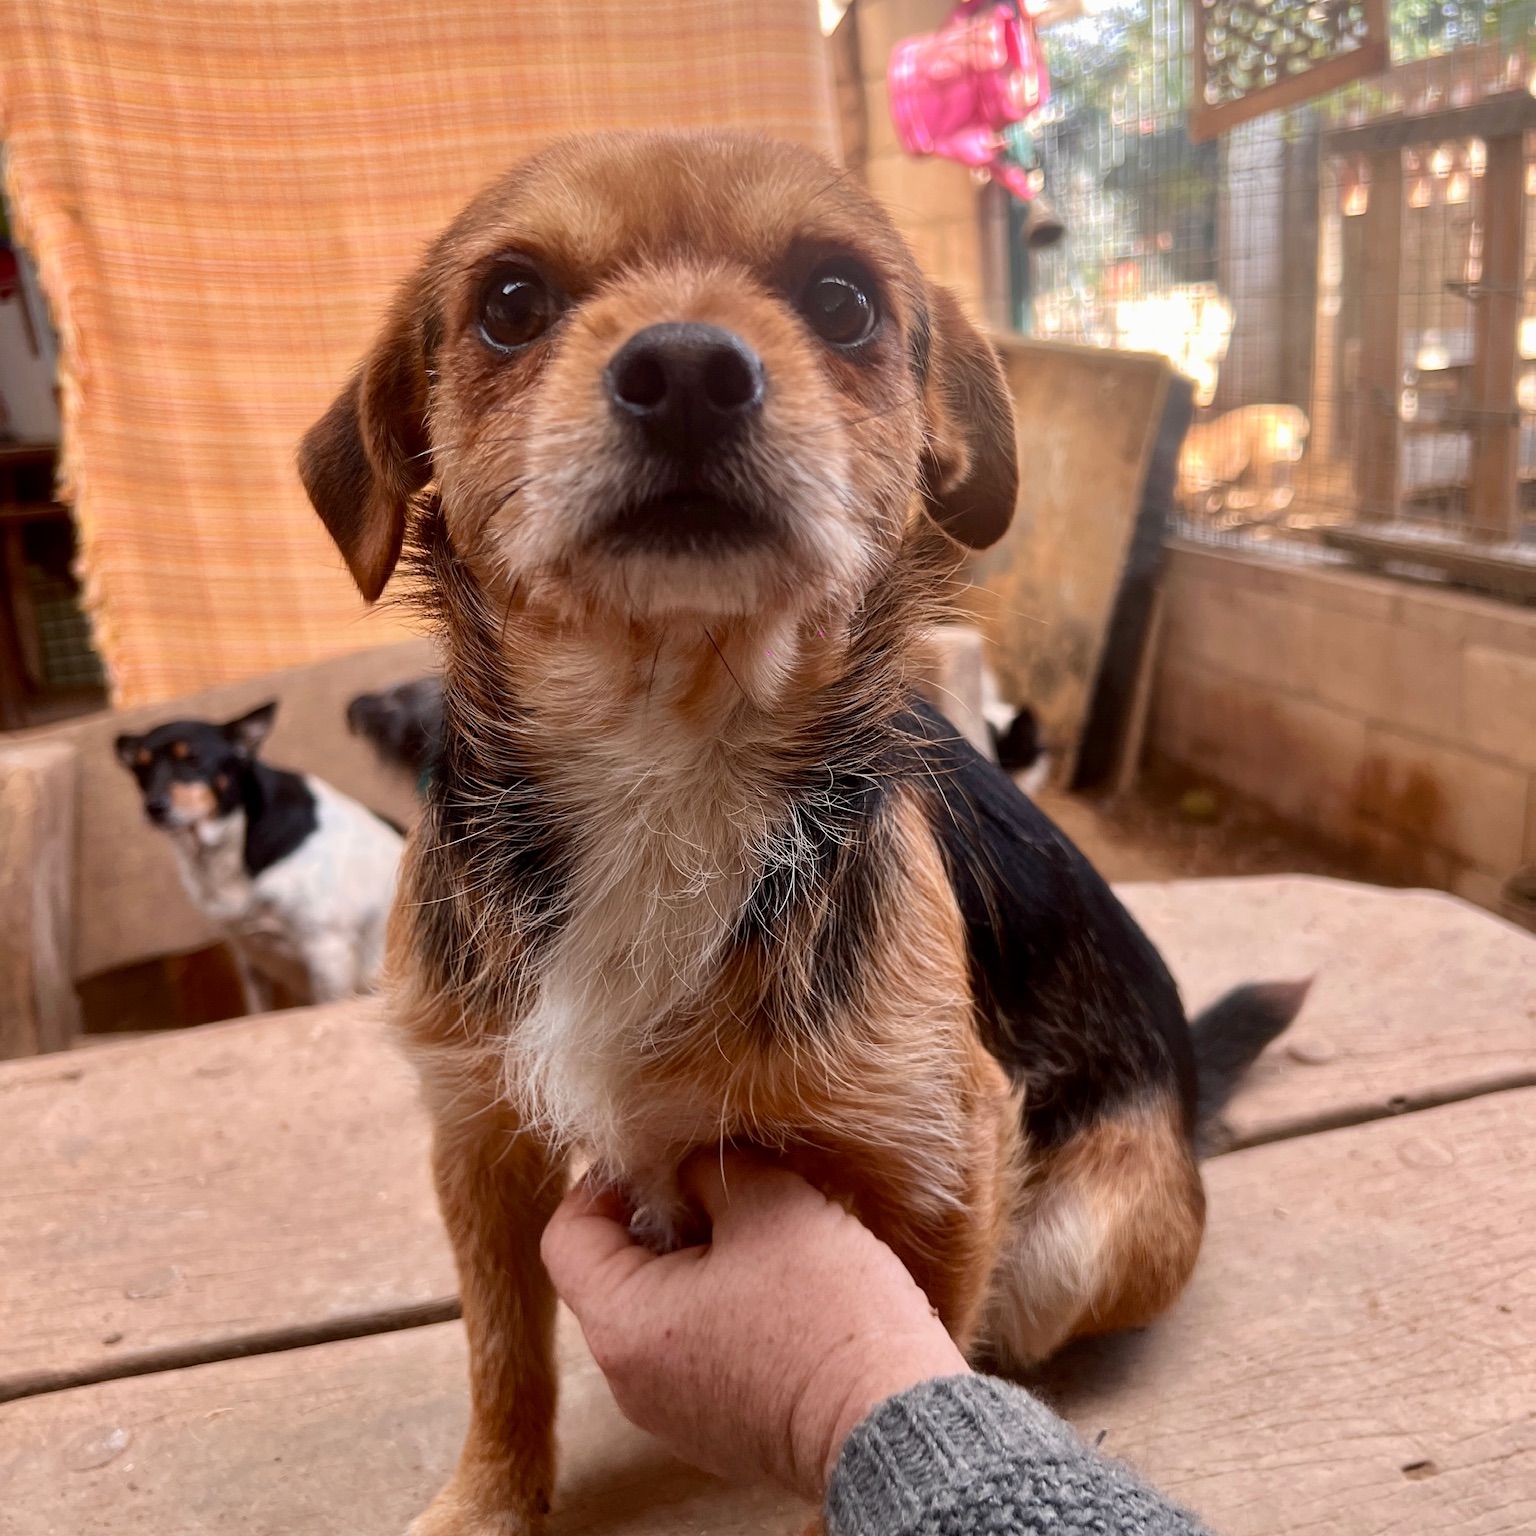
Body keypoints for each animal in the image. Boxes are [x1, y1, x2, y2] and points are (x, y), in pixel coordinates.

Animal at [114, 703, 403, 1010]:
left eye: (193, 760)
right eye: (141, 768)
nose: (154, 807)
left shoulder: (328, 952)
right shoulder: (249, 954)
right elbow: (258, 1010)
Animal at [298, 131, 1302, 1535]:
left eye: (842, 300)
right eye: (508, 303)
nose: (686, 373)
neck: (665, 752)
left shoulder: (939, 1156)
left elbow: (918, 1337)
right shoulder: (479, 1140)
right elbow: (503, 1356)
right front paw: (490, 1502)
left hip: (1074, 1239)